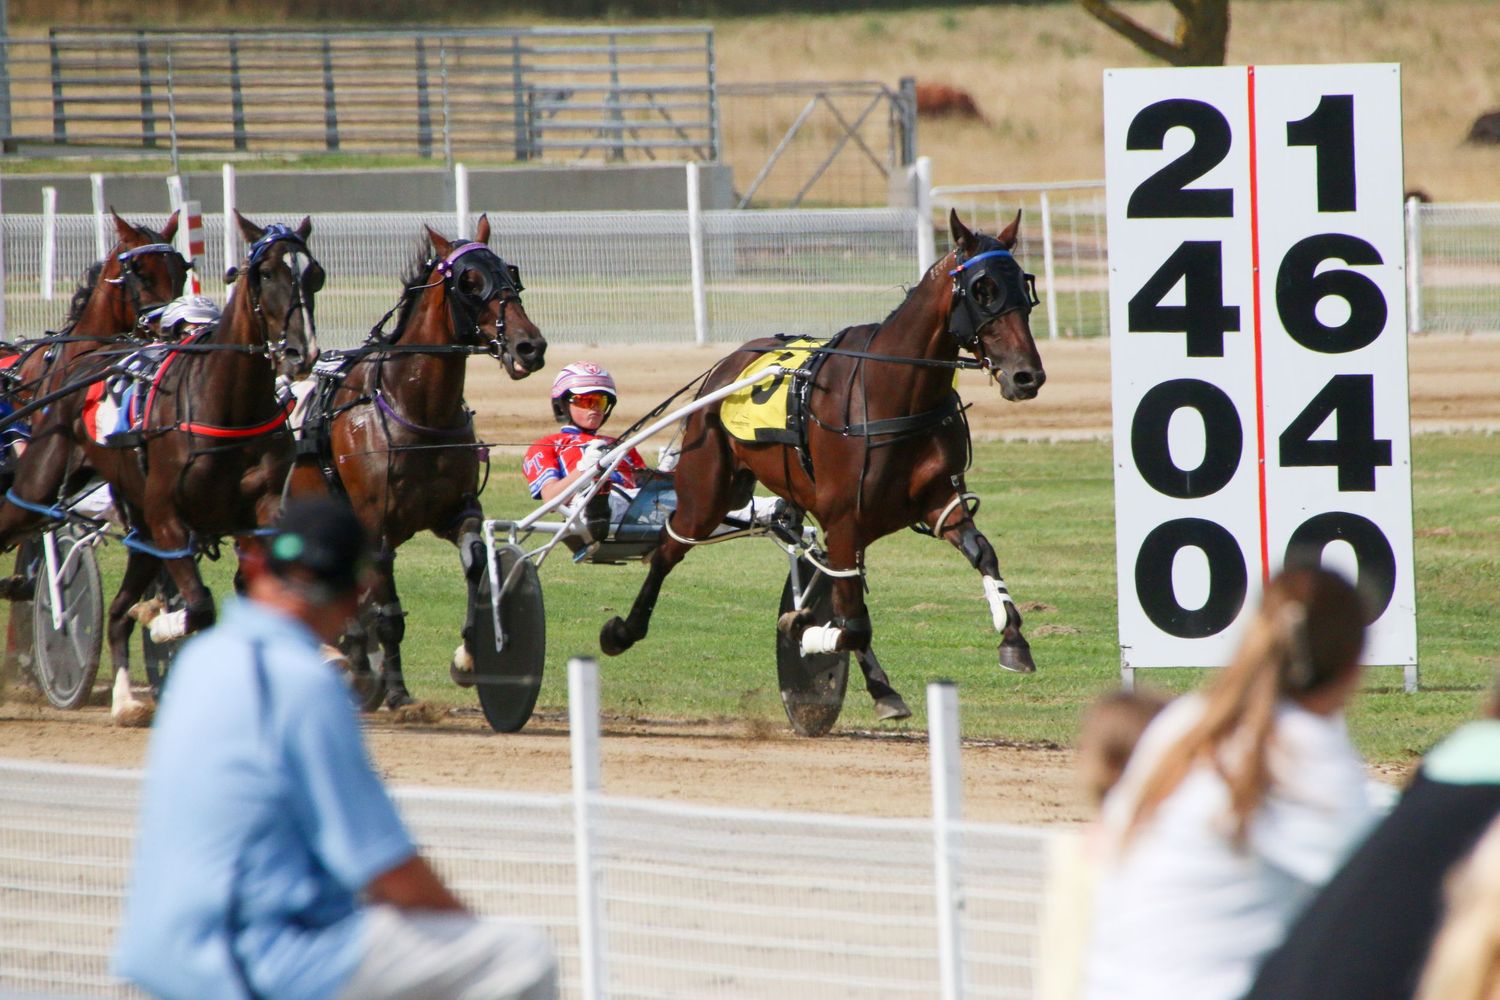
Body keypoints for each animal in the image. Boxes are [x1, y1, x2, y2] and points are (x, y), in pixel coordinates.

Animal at [0, 212, 323, 724]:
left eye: (314, 276)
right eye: (266, 273)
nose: (300, 352)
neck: (226, 402)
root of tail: (85, 362)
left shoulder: (262, 515)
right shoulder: (171, 521)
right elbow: (201, 607)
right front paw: (159, 620)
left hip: (141, 528)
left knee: (116, 611)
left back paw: (126, 700)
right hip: (40, 483)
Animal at [287, 215, 545, 710]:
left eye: (510, 273)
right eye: (469, 282)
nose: (529, 346)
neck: (417, 408)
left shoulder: (456, 511)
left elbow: (477, 561)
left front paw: (469, 656)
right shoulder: (376, 527)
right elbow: (387, 613)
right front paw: (395, 689)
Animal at [599, 210, 1046, 721]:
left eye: (1024, 287)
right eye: (982, 289)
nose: (1027, 376)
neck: (893, 390)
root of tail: (728, 363)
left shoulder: (937, 502)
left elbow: (981, 552)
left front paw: (1013, 638)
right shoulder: (845, 519)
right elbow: (852, 623)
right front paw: (805, 632)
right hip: (706, 491)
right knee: (670, 547)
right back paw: (623, 630)